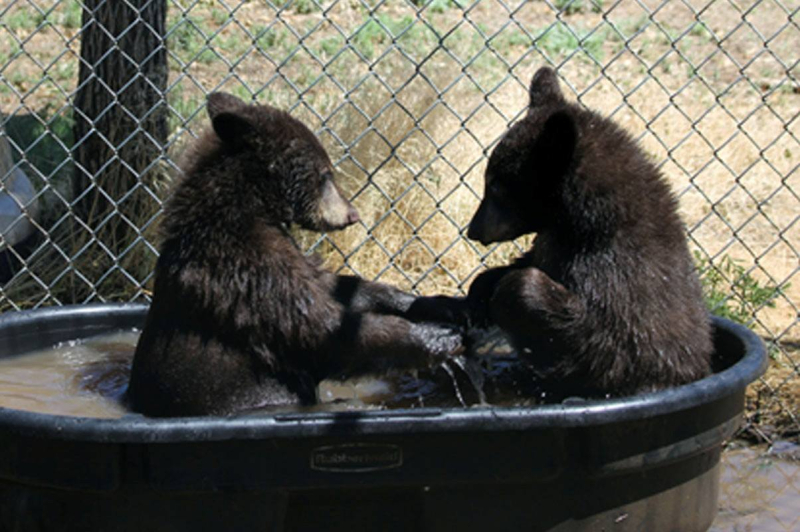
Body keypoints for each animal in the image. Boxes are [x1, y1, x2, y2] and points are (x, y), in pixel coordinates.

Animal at [127, 93, 464, 417]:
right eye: (326, 174)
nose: (352, 214)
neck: (250, 207)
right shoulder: (245, 268)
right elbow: (316, 324)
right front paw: (438, 337)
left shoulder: (281, 250)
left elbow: (330, 285)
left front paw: (435, 304)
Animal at [410, 67, 713, 398]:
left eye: (496, 186)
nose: (473, 230)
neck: (582, 226)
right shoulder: (552, 243)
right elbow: (526, 261)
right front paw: (478, 295)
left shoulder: (620, 280)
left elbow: (594, 337)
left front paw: (509, 294)